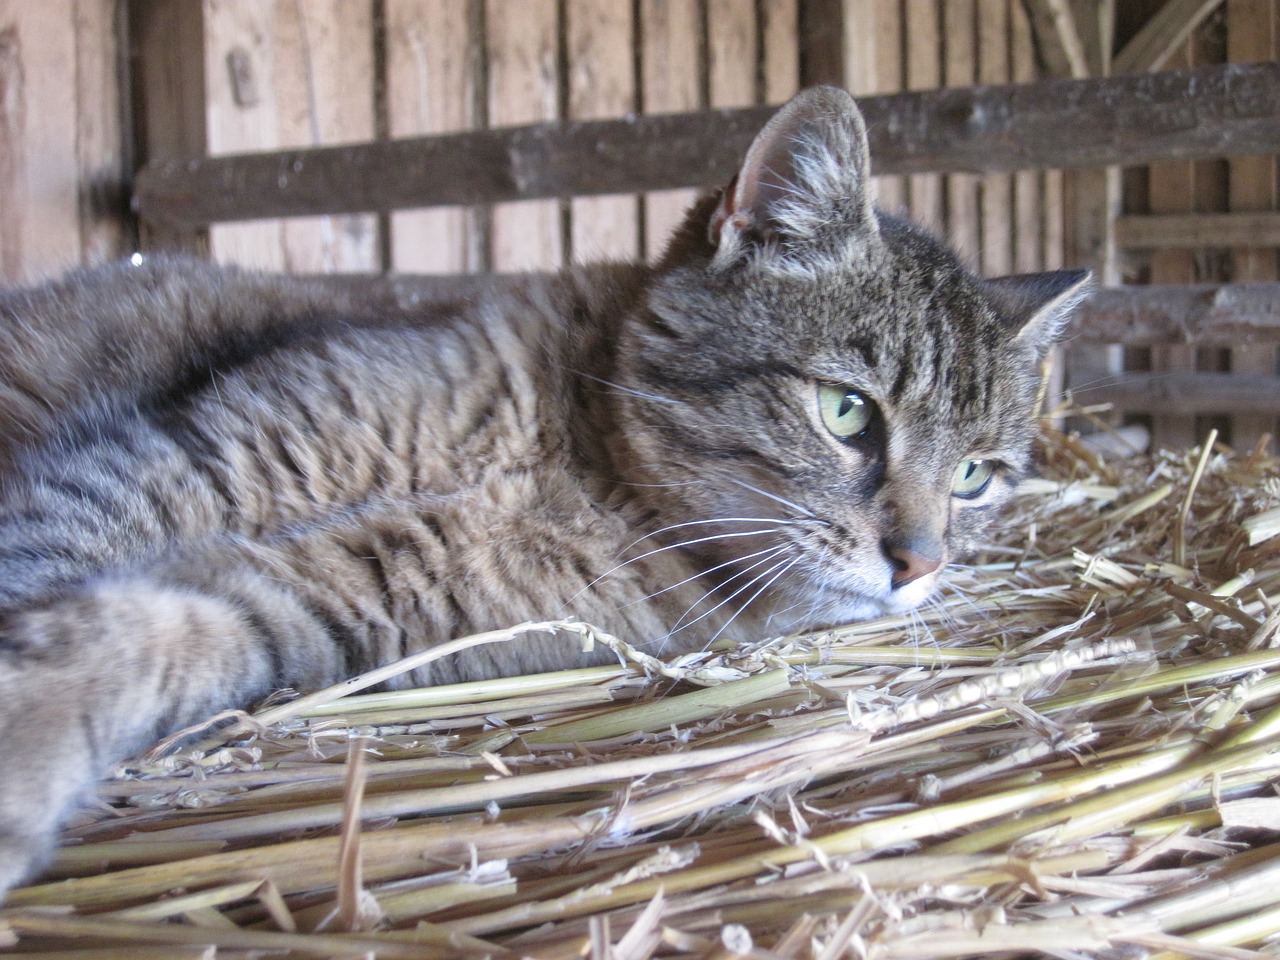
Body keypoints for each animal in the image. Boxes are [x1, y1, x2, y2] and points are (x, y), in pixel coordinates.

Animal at [0, 86, 1085, 901]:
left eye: (976, 476)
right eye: (846, 411)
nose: (921, 563)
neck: (580, 465)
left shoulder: (345, 596)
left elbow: (157, 629)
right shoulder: (191, 457)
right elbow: (51, 561)